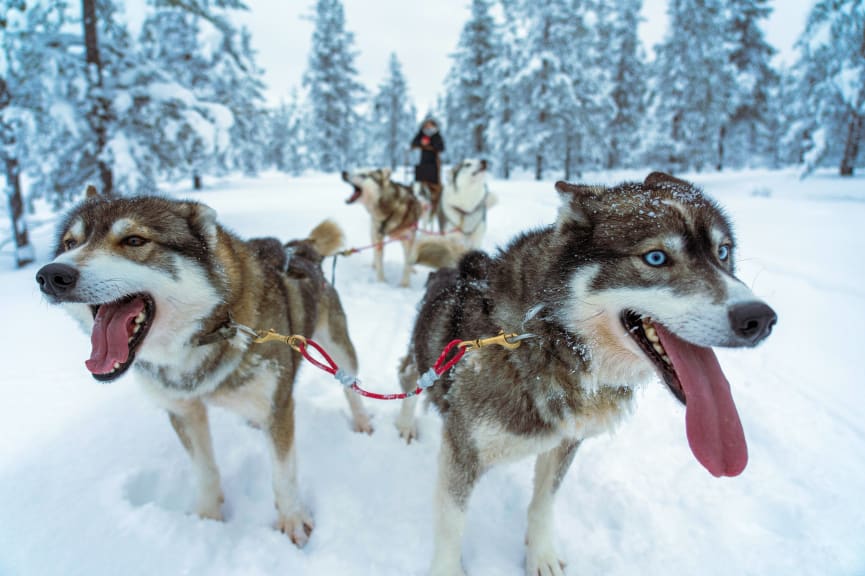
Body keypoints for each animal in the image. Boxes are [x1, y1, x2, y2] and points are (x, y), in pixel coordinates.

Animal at [36, 188, 372, 544]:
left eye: (134, 240)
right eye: (70, 243)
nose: (51, 275)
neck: (211, 330)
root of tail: (300, 248)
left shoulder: (278, 409)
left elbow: (283, 474)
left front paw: (293, 518)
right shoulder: (183, 410)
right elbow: (204, 469)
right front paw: (207, 519)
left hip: (339, 349)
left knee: (350, 387)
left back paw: (362, 421)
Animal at [398, 172, 776, 576]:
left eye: (723, 252)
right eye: (656, 257)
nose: (759, 319)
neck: (547, 337)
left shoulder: (567, 441)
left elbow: (544, 502)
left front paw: (541, 555)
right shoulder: (462, 449)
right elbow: (452, 524)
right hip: (421, 362)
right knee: (407, 377)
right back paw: (405, 423)